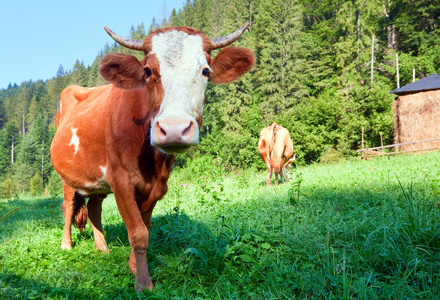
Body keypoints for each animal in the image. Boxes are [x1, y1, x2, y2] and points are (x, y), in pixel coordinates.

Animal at [50, 24, 254, 292]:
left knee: (94, 208)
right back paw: (66, 244)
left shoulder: (157, 185)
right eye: (147, 71)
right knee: (68, 206)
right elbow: (137, 232)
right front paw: (143, 282)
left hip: (98, 180)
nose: (174, 128)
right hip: (67, 177)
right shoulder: (120, 179)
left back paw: (102, 248)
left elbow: (144, 227)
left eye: (205, 71)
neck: (152, 162)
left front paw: (133, 266)